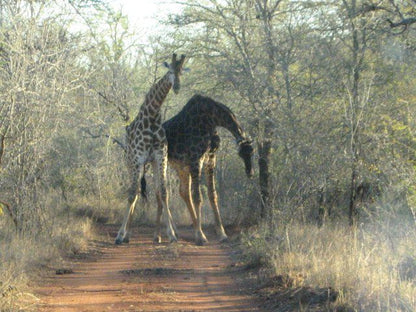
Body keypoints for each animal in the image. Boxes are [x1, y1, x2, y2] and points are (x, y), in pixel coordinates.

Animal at [114, 53, 185, 244]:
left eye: (181, 71)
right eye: (170, 71)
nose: (177, 87)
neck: (152, 116)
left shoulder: (160, 157)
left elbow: (164, 192)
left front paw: (172, 234)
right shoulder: (138, 158)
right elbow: (132, 193)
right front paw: (120, 234)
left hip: (149, 163)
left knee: (151, 192)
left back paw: (152, 234)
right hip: (130, 162)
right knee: (135, 191)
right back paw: (126, 234)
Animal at [143, 94, 254, 245]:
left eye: (252, 152)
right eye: (241, 154)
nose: (250, 172)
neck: (212, 120)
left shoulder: (211, 159)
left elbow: (212, 194)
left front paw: (222, 234)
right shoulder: (196, 159)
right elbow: (198, 196)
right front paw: (200, 236)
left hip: (180, 166)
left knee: (182, 191)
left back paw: (175, 232)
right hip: (159, 162)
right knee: (161, 191)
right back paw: (159, 235)